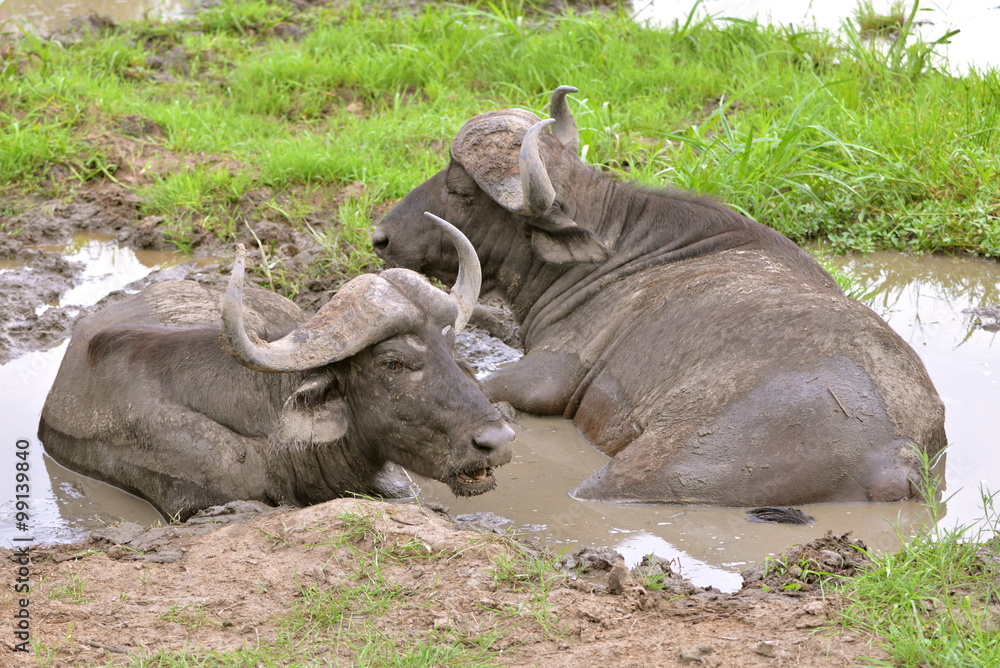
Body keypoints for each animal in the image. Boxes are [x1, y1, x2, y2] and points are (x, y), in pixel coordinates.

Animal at [374, 87, 944, 506]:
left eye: (460, 190)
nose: (381, 237)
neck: (611, 253)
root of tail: (898, 449)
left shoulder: (548, 374)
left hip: (652, 471)